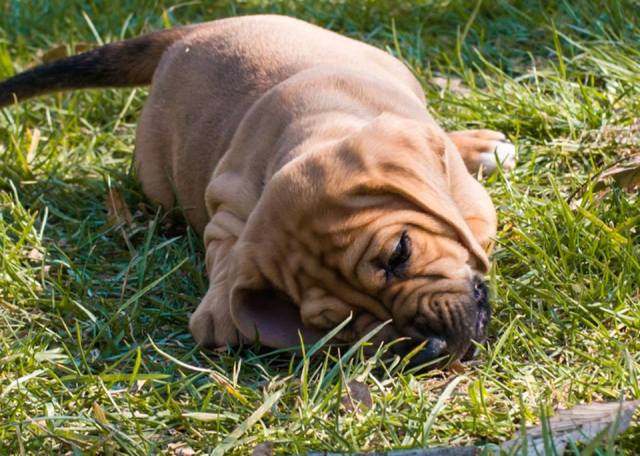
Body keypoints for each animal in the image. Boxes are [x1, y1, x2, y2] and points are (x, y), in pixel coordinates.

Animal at [0, 15, 516, 364]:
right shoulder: (228, 219)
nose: (433, 349)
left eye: (400, 253)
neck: (318, 128)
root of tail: (185, 37)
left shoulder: (472, 208)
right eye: (342, 324)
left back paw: (477, 146)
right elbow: (228, 263)